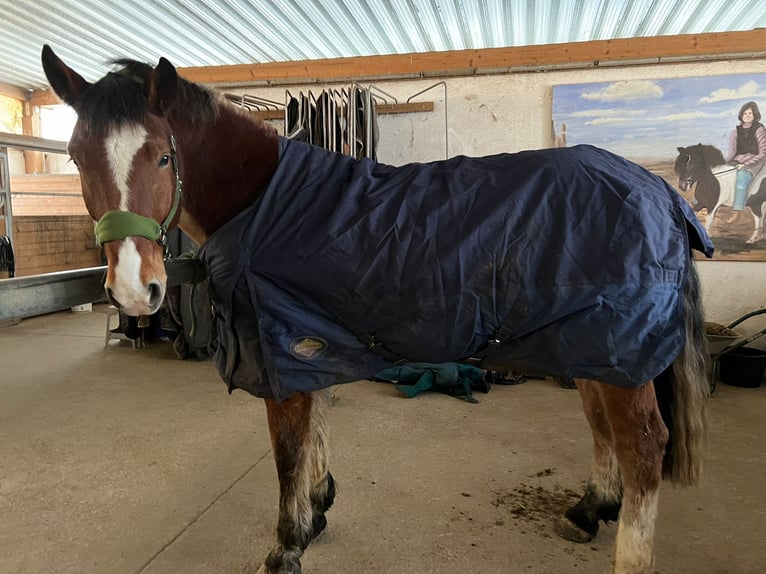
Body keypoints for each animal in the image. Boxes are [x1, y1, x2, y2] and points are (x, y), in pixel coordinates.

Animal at [40, 46, 712, 574]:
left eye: (161, 155)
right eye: (74, 156)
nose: (135, 290)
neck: (266, 201)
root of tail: (659, 191)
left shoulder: (280, 348)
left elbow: (288, 447)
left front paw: (287, 545)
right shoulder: (308, 344)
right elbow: (315, 427)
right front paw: (318, 507)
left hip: (618, 346)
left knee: (644, 445)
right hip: (591, 345)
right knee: (603, 427)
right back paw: (588, 511)